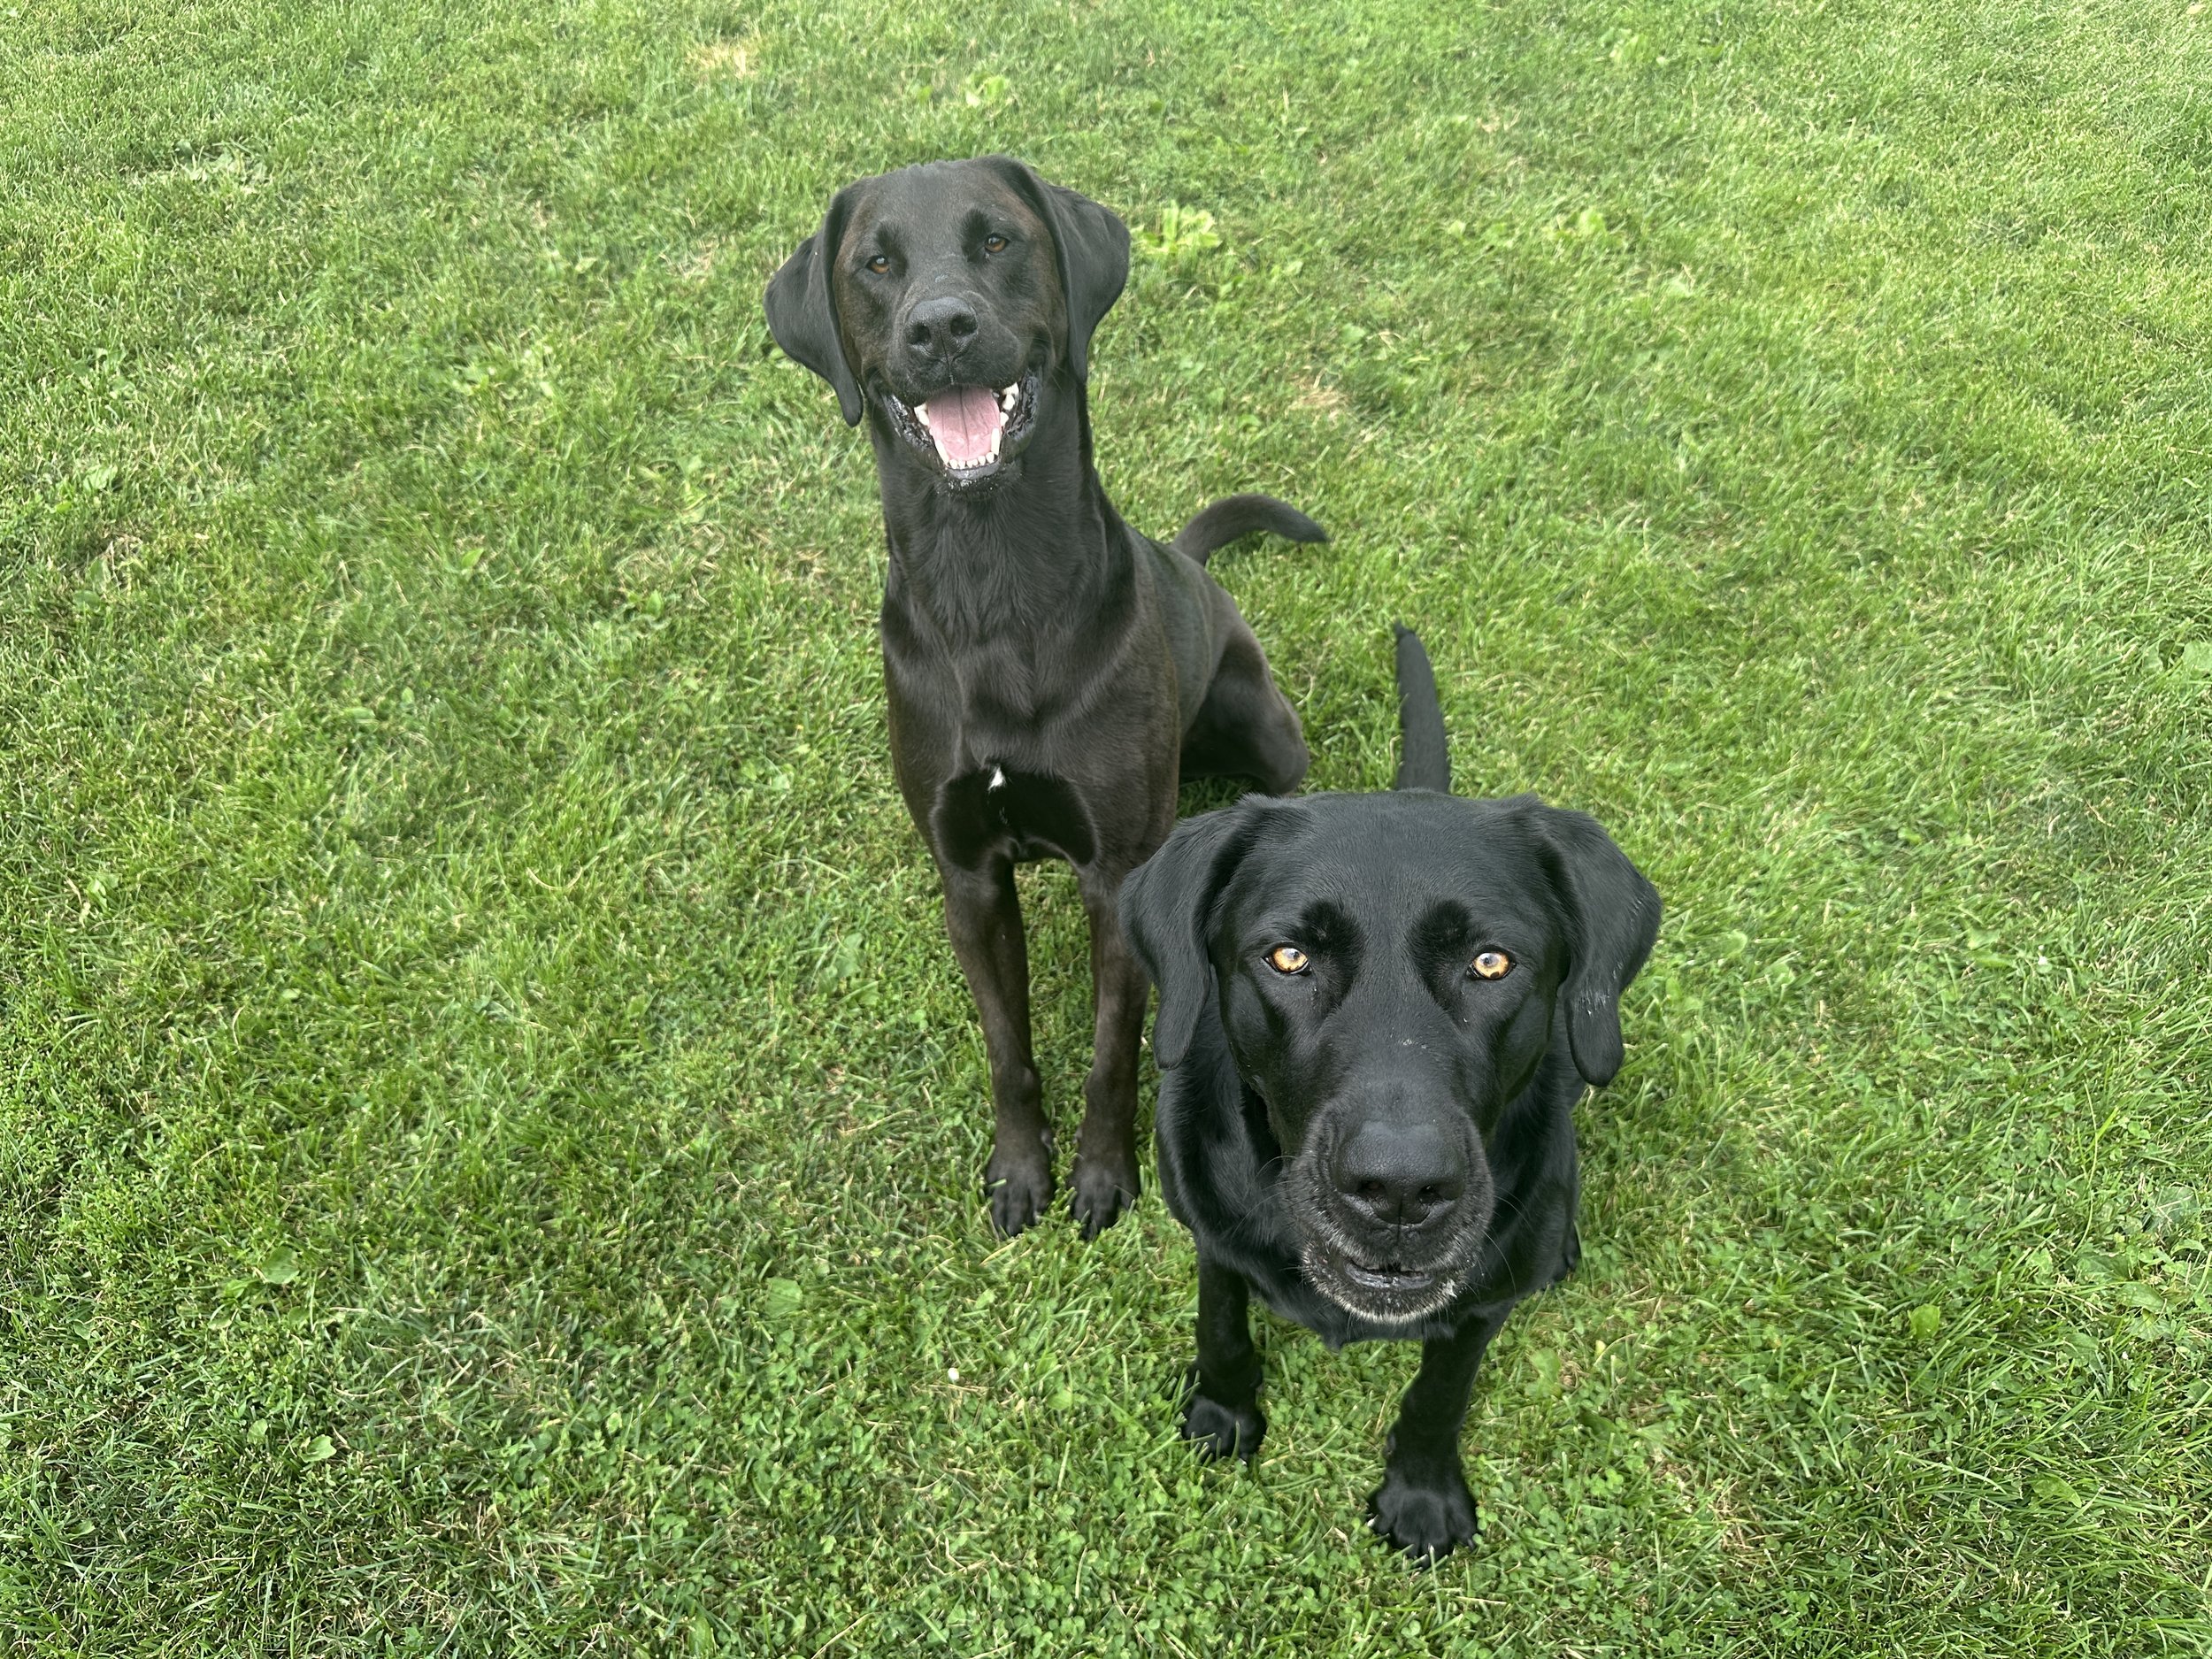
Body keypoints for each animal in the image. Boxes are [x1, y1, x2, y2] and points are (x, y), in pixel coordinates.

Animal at [763, 157, 1322, 1238]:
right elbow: (1006, 1048)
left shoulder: (1115, 877)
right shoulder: (969, 877)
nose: (941, 328)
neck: (992, 578)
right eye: (876, 265)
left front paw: (1102, 1177)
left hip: (1262, 728)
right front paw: (1020, 1170)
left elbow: (1111, 1054)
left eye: (997, 241)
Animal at [1120, 626, 1661, 1560]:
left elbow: (1440, 1392)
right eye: (1288, 957)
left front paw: (1422, 1492)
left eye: (1491, 961)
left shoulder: (1477, 1310)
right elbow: (1220, 1321)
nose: (1401, 1188)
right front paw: (1222, 1411)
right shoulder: (1210, 1234)